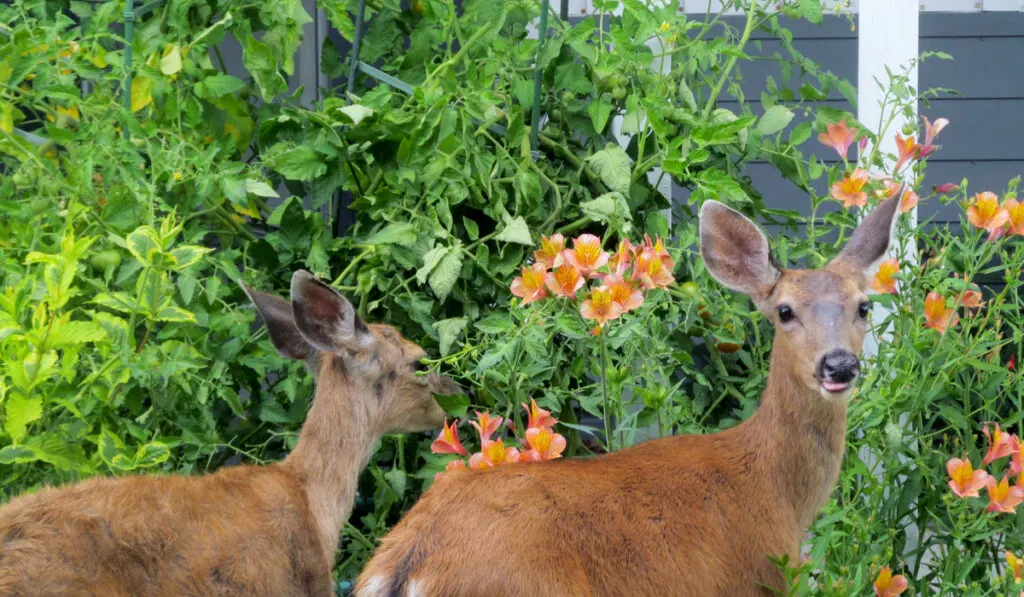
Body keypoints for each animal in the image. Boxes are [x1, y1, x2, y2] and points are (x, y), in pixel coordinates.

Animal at [356, 194, 901, 597]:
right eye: (785, 311)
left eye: (864, 306)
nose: (838, 365)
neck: (777, 489)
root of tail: (411, 562)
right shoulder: (755, 581)